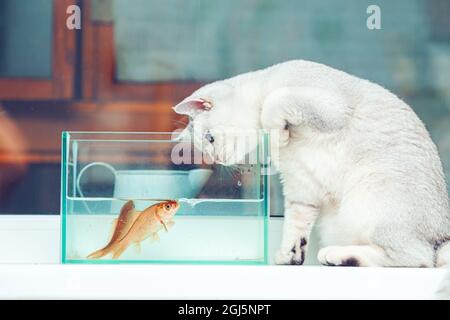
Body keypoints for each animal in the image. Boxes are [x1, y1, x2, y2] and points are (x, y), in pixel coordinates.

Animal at [173, 60, 450, 268]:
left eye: (210, 139)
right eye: (204, 148)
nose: (218, 159)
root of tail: (442, 235)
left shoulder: (326, 107)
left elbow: (273, 101)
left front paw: (279, 133)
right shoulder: (300, 186)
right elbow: (295, 226)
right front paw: (289, 256)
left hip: (374, 201)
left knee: (419, 258)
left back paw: (337, 255)